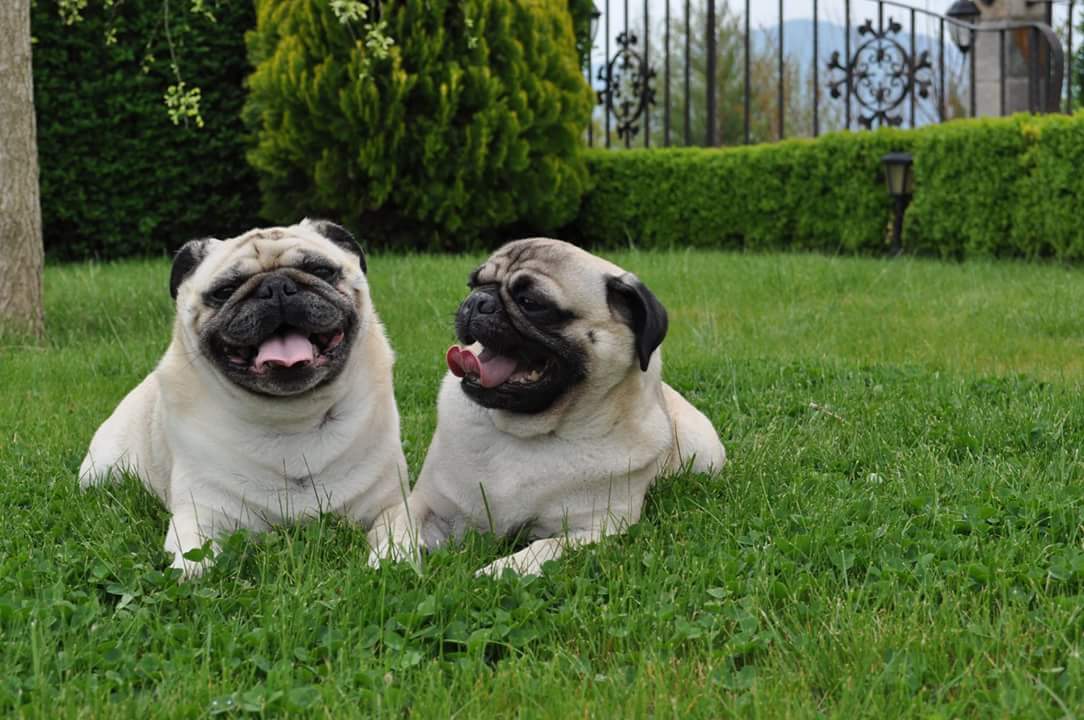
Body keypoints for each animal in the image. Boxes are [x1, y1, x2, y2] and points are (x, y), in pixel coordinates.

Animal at [80, 219, 407, 581]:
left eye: (320, 270)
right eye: (225, 291)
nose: (276, 287)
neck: (293, 417)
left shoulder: (392, 502)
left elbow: (401, 528)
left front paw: (393, 561)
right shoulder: (202, 511)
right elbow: (194, 553)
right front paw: (191, 575)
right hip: (100, 471)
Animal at [368, 238, 724, 576]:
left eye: (532, 303)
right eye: (474, 284)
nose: (477, 301)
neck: (523, 432)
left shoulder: (599, 527)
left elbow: (547, 547)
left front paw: (501, 570)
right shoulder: (424, 504)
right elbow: (400, 527)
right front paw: (390, 559)